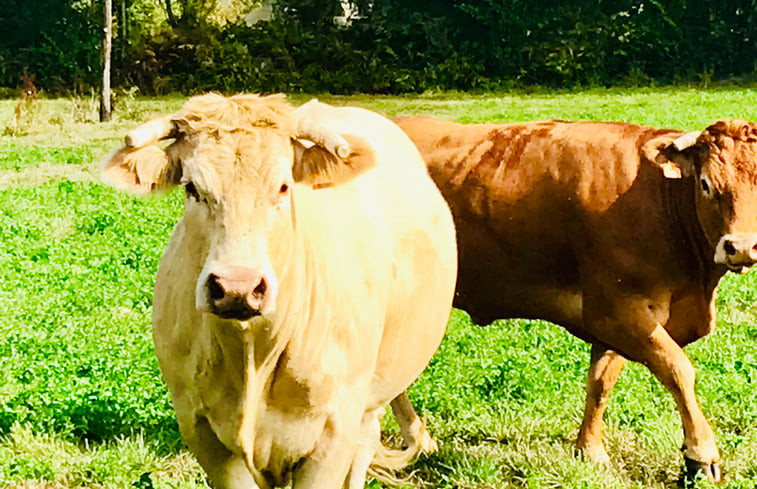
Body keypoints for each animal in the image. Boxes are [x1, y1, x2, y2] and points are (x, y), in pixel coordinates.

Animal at [396, 116, 756, 482]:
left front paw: (590, 449)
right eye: (705, 184)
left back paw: (418, 440)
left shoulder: (614, 322)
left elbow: (600, 382)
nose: (740, 247)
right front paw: (701, 453)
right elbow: (678, 370)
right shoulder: (615, 309)